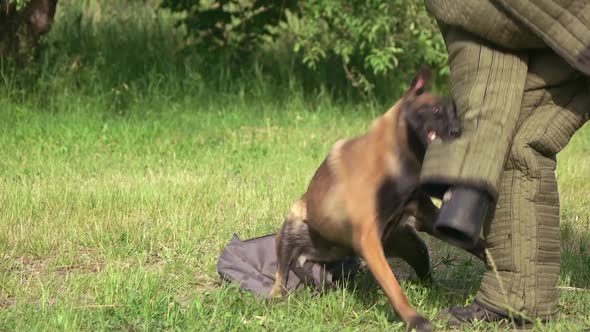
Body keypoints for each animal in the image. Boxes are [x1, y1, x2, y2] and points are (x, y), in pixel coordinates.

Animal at [270, 68, 488, 330]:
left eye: (456, 113)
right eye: (436, 110)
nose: (458, 132)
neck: (397, 159)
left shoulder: (425, 217)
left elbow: (477, 244)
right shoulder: (367, 238)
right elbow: (393, 287)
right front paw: (414, 319)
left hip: (414, 247)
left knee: (426, 277)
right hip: (292, 226)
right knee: (280, 274)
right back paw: (276, 297)